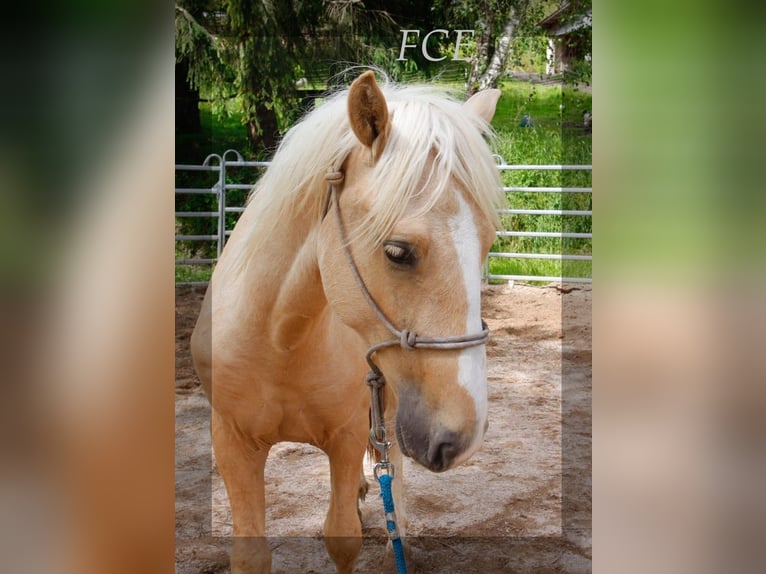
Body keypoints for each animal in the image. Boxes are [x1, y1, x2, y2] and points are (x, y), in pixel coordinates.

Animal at [191, 70, 504, 572]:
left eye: (488, 242)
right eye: (397, 251)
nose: (465, 436)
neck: (280, 342)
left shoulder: (344, 436)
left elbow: (342, 538)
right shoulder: (232, 442)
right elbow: (251, 553)